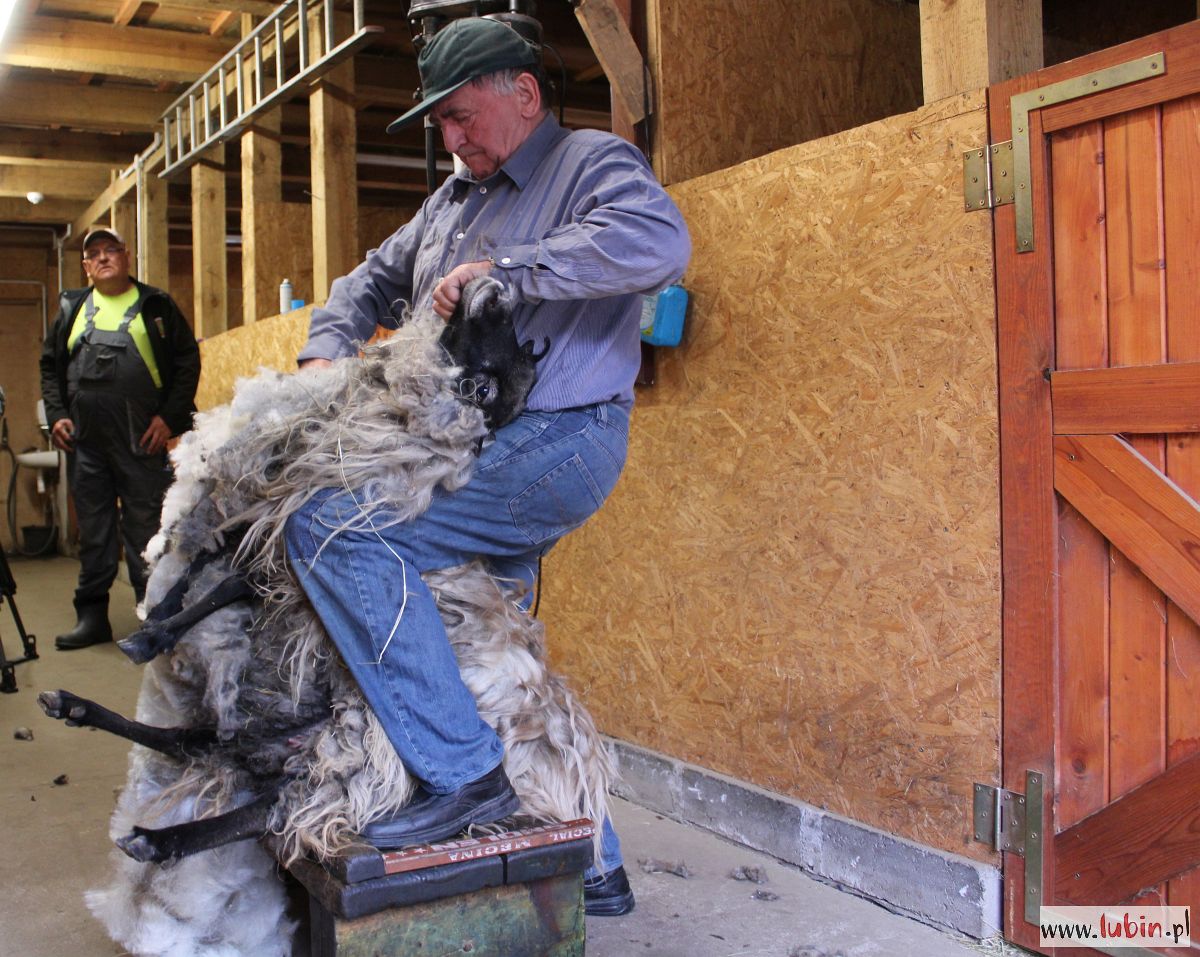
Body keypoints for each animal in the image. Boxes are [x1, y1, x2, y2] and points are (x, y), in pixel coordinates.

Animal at [42, 273, 614, 954]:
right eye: (506, 358)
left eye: (482, 390)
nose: (499, 287)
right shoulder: (266, 526)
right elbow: (212, 572)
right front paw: (158, 622)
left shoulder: (290, 544)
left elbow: (224, 585)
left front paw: (157, 628)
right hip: (259, 732)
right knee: (194, 747)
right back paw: (73, 709)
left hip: (350, 753)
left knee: (265, 809)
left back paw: (154, 840)